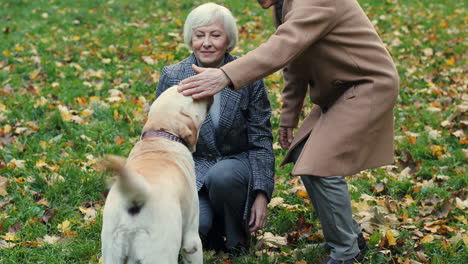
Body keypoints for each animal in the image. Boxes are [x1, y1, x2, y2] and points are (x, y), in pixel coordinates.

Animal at [102, 85, 212, 264]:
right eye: (193, 97)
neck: (161, 135)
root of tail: (136, 197)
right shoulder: (192, 237)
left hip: (111, 253)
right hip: (162, 253)